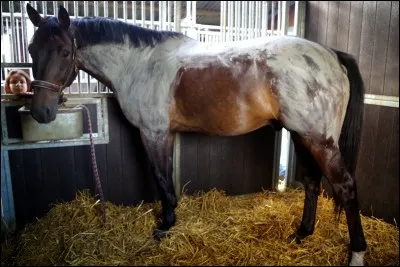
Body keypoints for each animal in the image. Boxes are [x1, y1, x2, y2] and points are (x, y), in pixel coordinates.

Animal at [26, 4, 368, 266]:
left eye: (65, 51)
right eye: (31, 49)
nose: (41, 112)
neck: (139, 64)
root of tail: (332, 55)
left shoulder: (153, 133)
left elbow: (161, 179)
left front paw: (165, 226)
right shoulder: (165, 134)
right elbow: (167, 179)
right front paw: (171, 217)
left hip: (319, 140)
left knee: (346, 187)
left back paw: (357, 254)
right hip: (301, 135)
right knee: (311, 183)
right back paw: (301, 233)